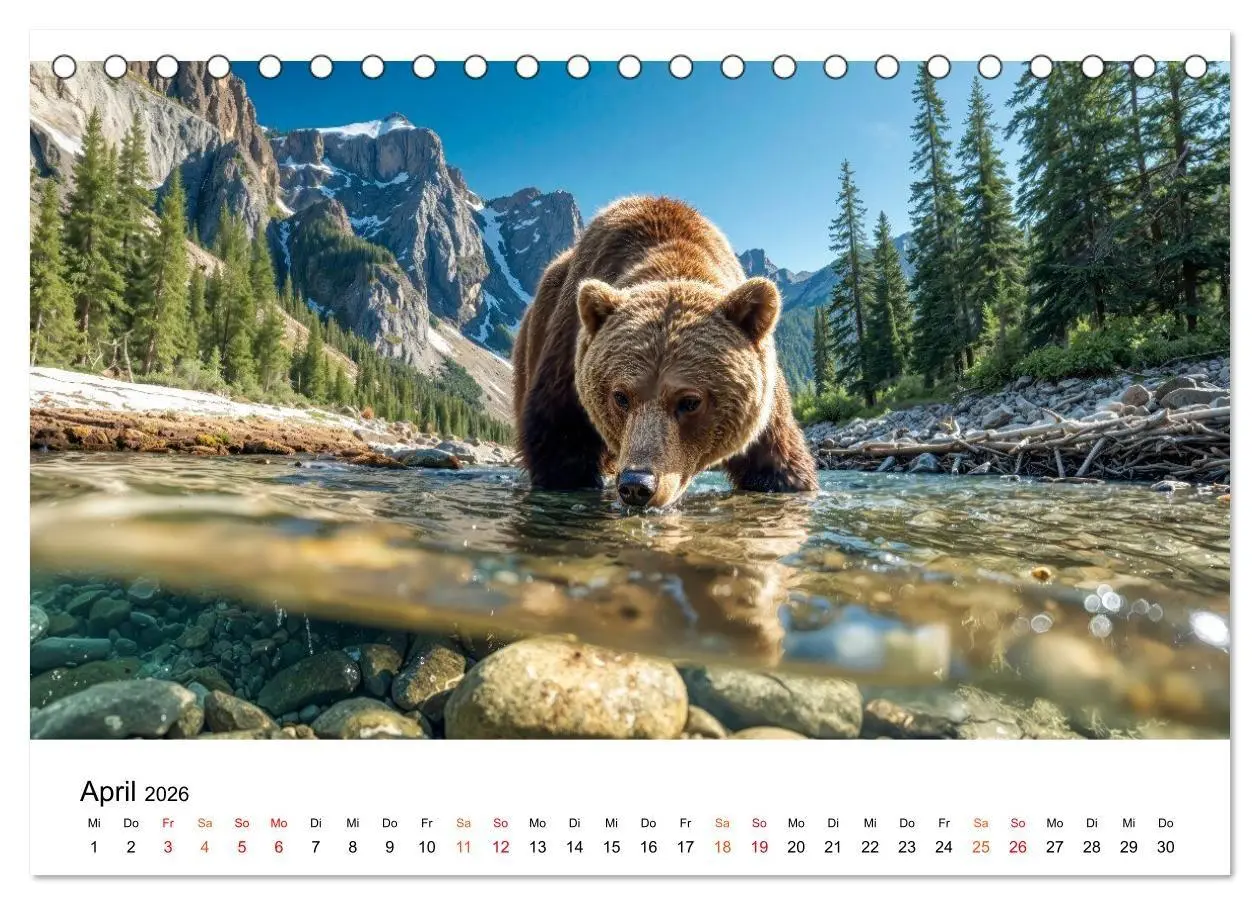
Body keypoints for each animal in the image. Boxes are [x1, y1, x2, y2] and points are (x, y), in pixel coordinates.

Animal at [513, 195, 818, 509]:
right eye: (620, 396)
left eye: (690, 401)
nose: (637, 485)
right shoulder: (566, 364)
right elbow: (559, 445)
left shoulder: (764, 401)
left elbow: (778, 461)